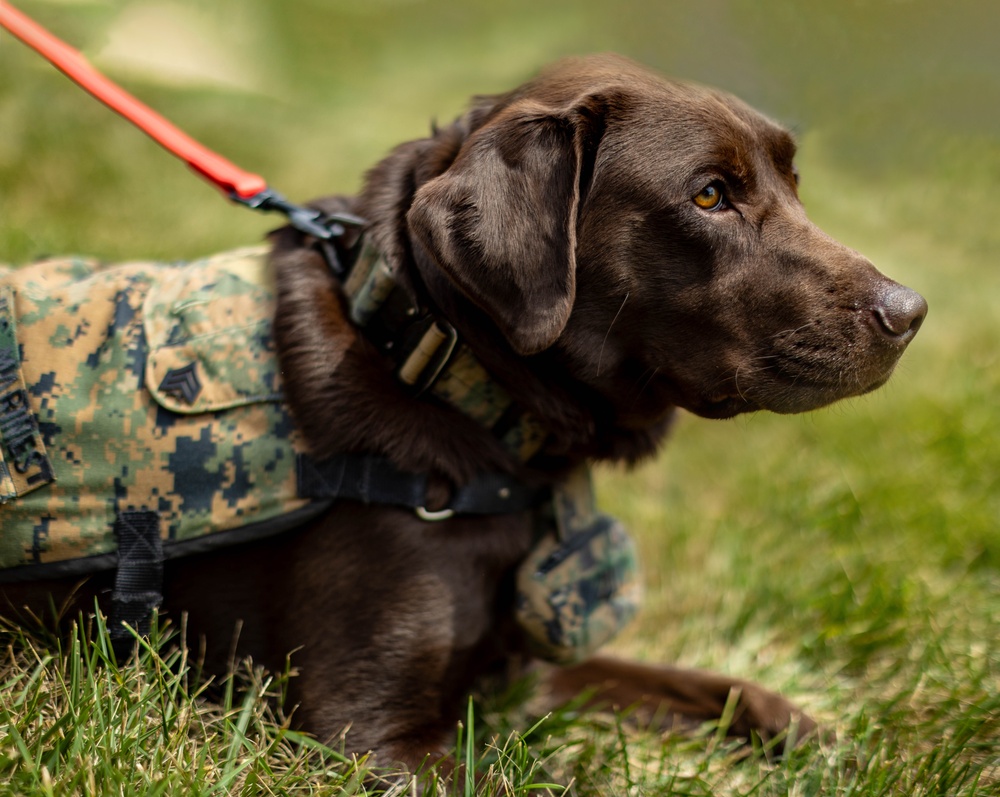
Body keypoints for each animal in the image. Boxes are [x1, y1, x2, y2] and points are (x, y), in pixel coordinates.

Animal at [1, 56, 920, 772]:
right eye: (709, 195)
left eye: (794, 184)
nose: (910, 312)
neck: (447, 368)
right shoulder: (363, 731)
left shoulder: (523, 664)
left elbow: (712, 686)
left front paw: (832, 741)